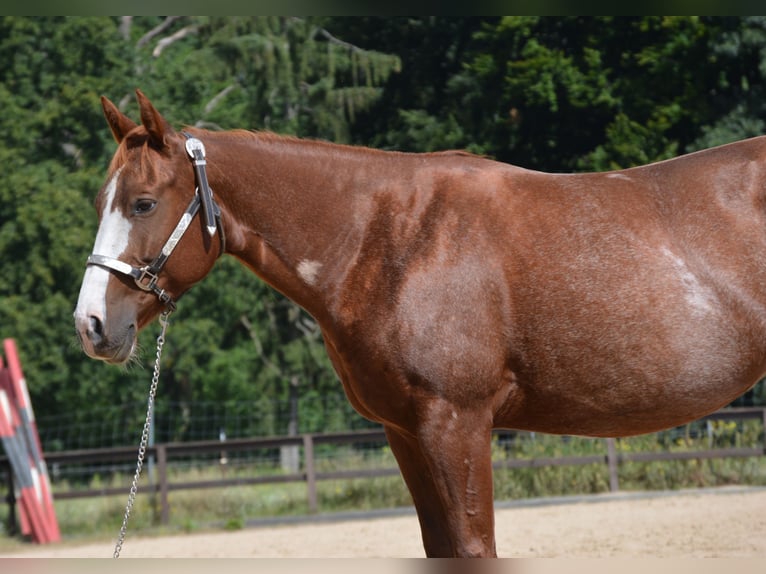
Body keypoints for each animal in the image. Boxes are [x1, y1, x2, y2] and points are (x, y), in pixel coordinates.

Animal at [74, 90, 766, 557]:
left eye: (143, 203)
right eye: (101, 201)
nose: (91, 324)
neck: (393, 237)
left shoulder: (456, 424)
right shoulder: (406, 432)